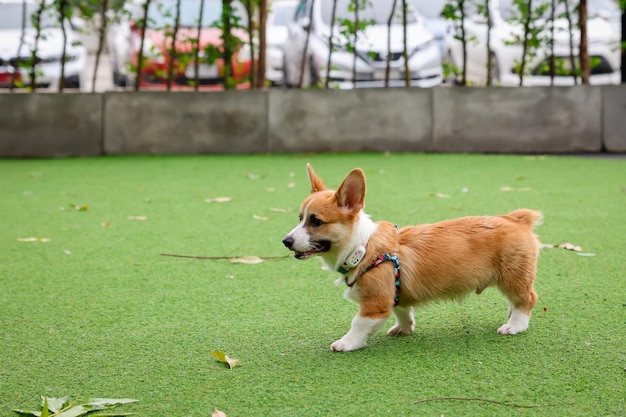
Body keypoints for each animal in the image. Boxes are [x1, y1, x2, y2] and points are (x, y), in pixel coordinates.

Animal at [280, 163, 540, 352]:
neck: (361, 247)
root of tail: (517, 219)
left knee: (527, 299)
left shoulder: (374, 304)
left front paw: (346, 343)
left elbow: (358, 324)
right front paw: (404, 329)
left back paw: (514, 326)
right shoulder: (395, 294)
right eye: (300, 218)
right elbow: (402, 311)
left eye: (316, 221)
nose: (286, 241)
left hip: (512, 277)